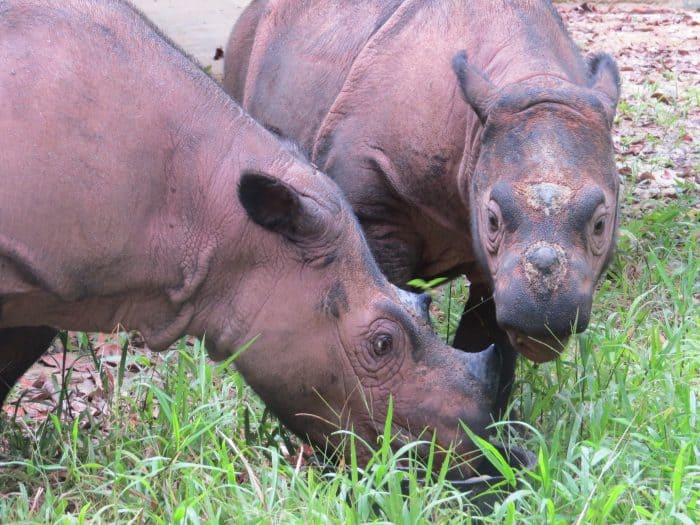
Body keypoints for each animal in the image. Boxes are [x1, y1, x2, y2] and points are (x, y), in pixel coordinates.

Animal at [224, 0, 621, 411]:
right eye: (492, 220)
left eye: (600, 225)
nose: (542, 317)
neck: (533, 78)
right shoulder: (372, 197)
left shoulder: (495, 264)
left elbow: (488, 338)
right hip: (245, 46)